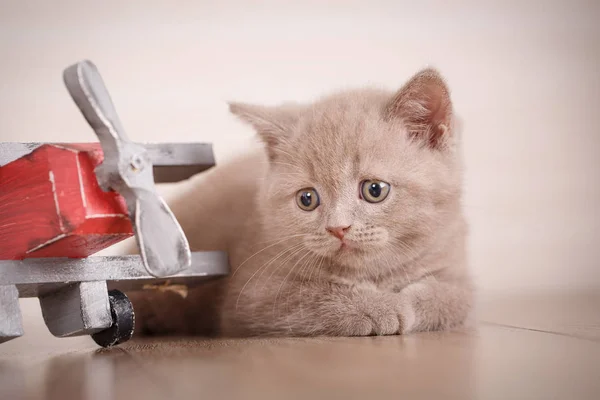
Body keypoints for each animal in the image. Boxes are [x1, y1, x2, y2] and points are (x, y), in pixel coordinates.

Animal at [130, 69, 474, 338]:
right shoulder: (253, 294)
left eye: (375, 190)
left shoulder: (454, 262)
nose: (338, 228)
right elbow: (309, 297)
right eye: (307, 199)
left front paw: (411, 302)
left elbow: (455, 296)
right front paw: (379, 305)